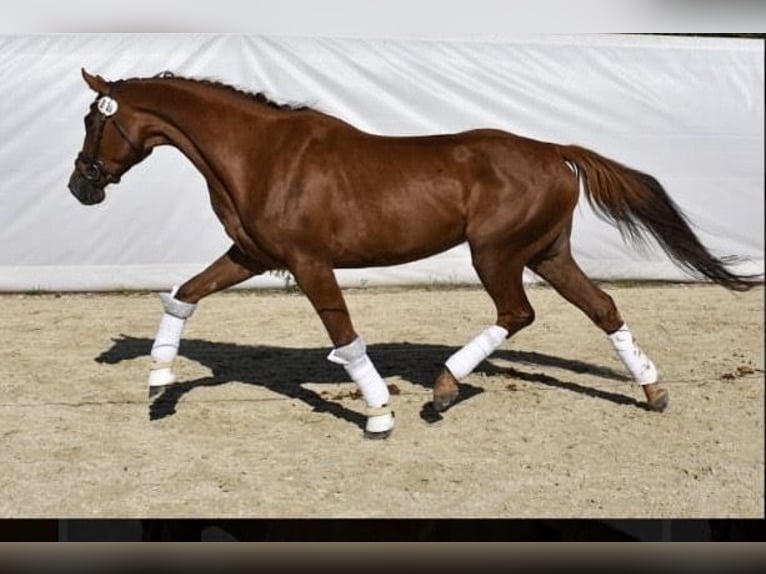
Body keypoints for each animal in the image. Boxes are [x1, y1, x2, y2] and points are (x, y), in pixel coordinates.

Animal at [68, 68, 756, 439]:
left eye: (92, 121)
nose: (81, 185)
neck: (262, 155)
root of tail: (554, 151)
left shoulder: (310, 263)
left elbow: (344, 337)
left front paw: (379, 415)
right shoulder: (249, 255)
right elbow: (183, 296)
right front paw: (159, 379)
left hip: (496, 253)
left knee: (518, 314)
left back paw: (445, 387)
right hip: (547, 254)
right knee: (604, 308)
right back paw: (652, 390)